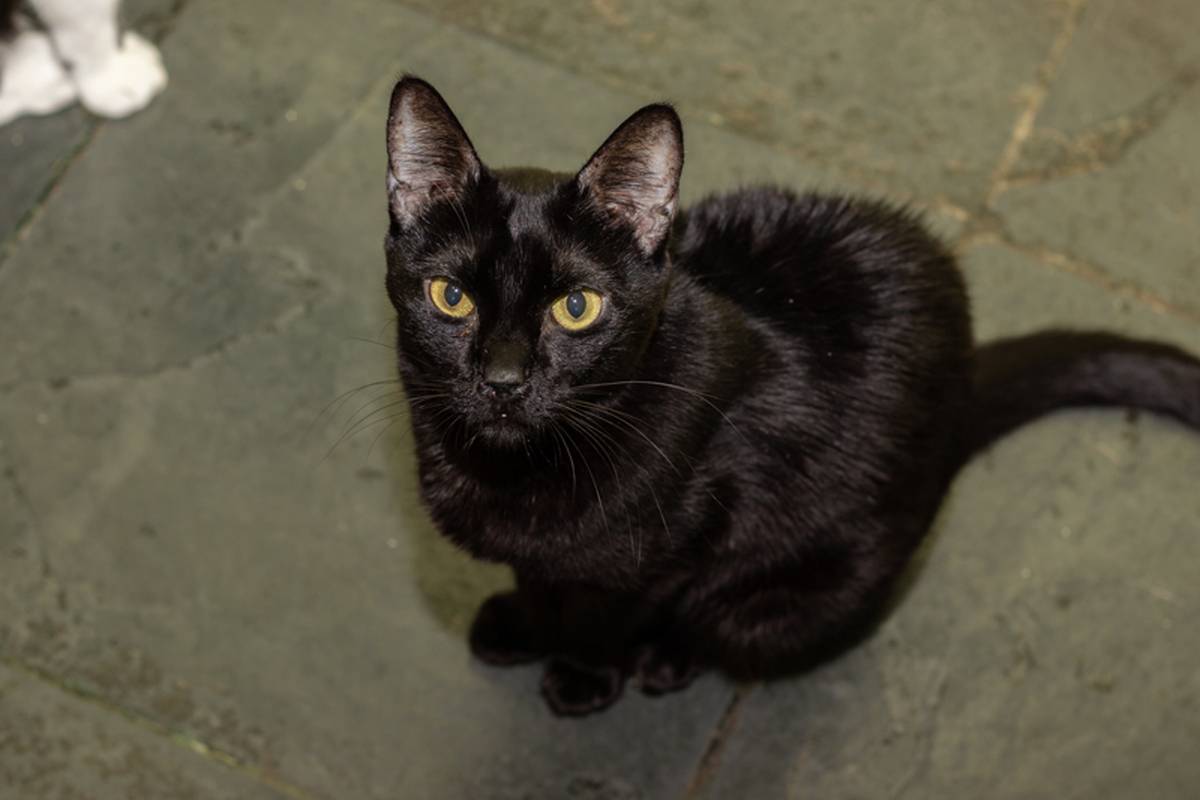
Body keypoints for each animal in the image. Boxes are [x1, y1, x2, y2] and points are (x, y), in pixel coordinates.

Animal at [382, 76, 1200, 716]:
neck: (510, 472)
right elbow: (539, 574)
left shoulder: (694, 533)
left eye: (576, 308)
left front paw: (584, 669)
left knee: (733, 621)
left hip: (802, 598)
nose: (503, 380)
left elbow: (614, 608)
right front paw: (525, 622)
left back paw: (669, 657)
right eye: (450, 297)